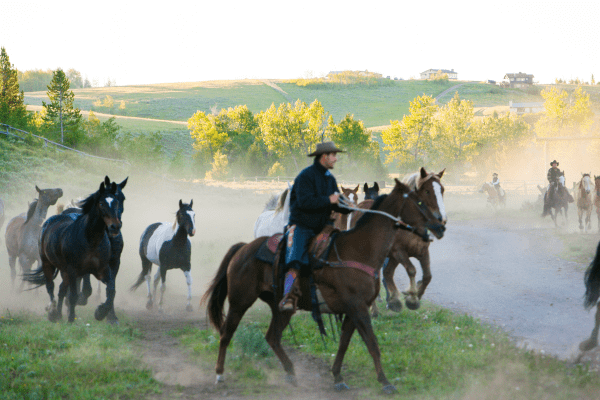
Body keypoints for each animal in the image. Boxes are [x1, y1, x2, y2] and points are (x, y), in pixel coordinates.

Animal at [22, 178, 123, 322]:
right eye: (101, 203)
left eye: (118, 201)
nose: (115, 227)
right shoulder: (75, 270)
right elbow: (76, 293)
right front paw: (71, 317)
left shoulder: (104, 268)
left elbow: (111, 289)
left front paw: (101, 312)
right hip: (47, 263)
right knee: (51, 286)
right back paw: (53, 312)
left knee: (61, 289)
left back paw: (58, 313)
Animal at [203, 180, 446, 392]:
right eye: (420, 201)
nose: (440, 225)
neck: (359, 250)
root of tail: (243, 248)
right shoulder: (358, 307)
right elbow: (372, 343)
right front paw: (385, 382)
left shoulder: (353, 310)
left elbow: (344, 344)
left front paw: (338, 377)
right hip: (240, 301)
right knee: (226, 334)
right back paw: (219, 374)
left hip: (281, 308)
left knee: (272, 337)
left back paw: (291, 373)